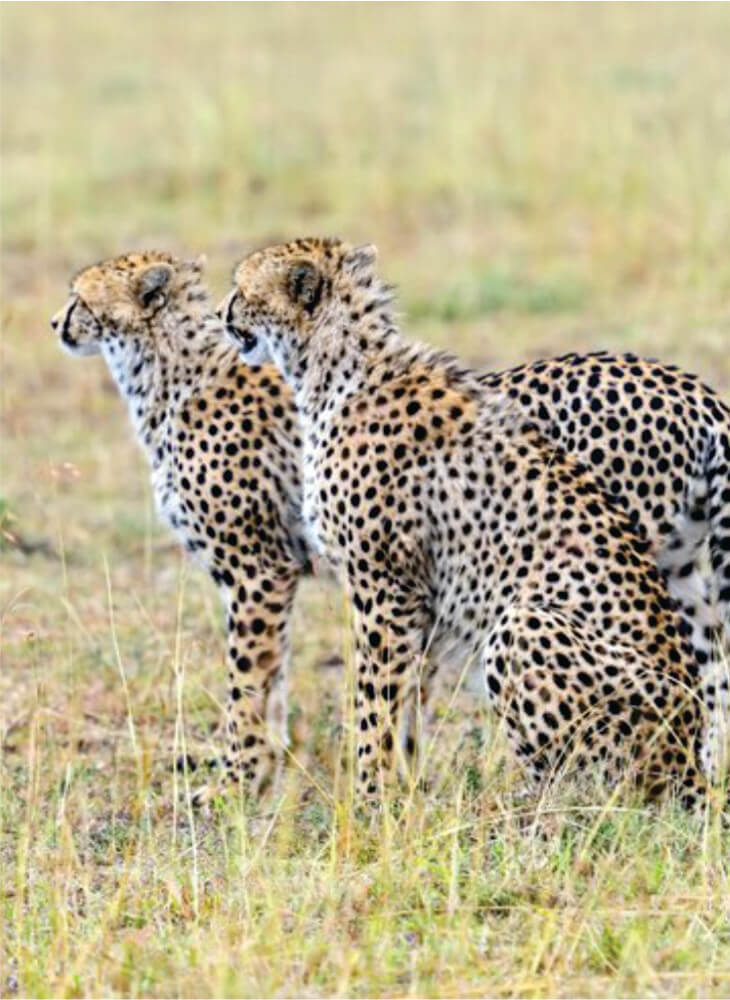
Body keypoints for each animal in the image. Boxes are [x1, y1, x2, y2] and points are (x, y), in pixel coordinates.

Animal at [51, 254, 306, 800]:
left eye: (81, 298)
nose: (55, 322)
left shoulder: (260, 571)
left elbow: (246, 680)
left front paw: (235, 783)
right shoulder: (273, 575)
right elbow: (273, 674)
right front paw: (267, 772)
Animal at [222, 238, 724, 808]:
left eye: (243, 290)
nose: (223, 313)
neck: (335, 368)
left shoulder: (383, 587)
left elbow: (374, 702)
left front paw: (370, 798)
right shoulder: (417, 599)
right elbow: (406, 704)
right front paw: (406, 792)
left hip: (523, 626)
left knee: (593, 782)